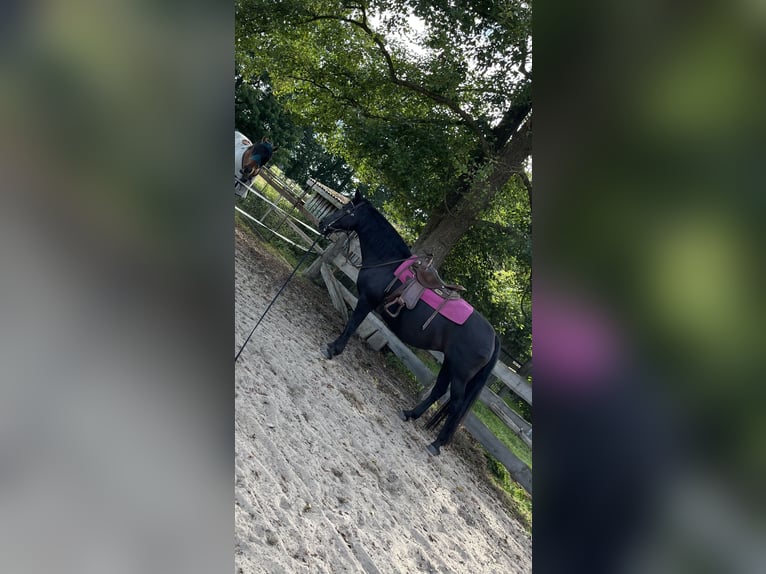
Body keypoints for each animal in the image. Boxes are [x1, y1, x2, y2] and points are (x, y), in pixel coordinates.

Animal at [318, 191, 501, 455]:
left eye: (346, 209)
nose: (323, 224)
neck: (389, 264)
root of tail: (493, 336)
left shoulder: (366, 301)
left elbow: (352, 325)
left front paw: (333, 348)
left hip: (460, 373)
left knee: (455, 406)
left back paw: (435, 445)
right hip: (449, 363)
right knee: (438, 391)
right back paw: (409, 414)